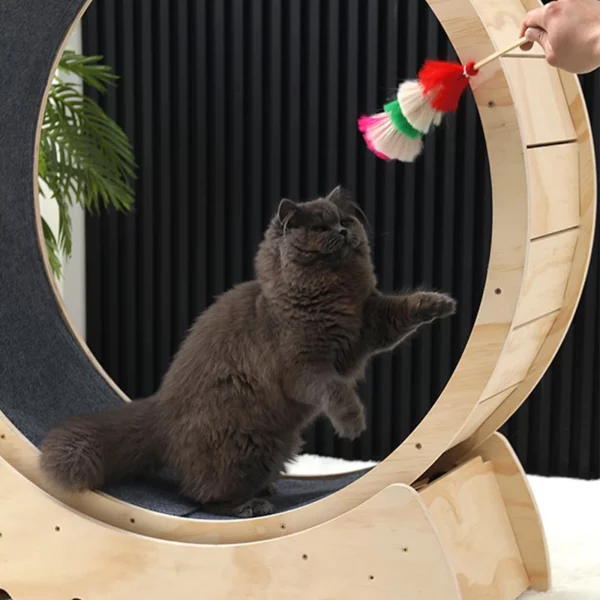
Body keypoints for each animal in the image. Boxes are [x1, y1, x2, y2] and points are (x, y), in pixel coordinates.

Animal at [41, 186, 454, 516]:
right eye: (320, 228)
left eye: (343, 221)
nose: (341, 231)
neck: (334, 296)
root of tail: (159, 412)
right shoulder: (305, 369)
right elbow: (336, 391)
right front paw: (352, 424)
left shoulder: (367, 325)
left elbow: (404, 308)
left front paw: (441, 303)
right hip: (243, 449)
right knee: (201, 496)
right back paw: (250, 505)